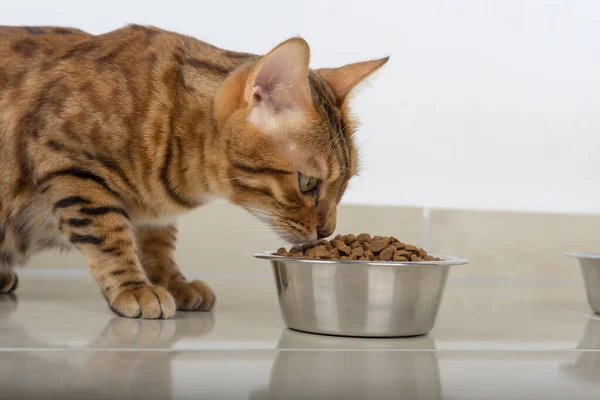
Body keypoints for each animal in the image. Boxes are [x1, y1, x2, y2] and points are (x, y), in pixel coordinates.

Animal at [0, 24, 390, 318]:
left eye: (345, 184)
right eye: (307, 183)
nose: (328, 231)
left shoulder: (153, 214)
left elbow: (157, 244)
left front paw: (173, 282)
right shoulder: (68, 164)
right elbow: (110, 235)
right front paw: (134, 287)